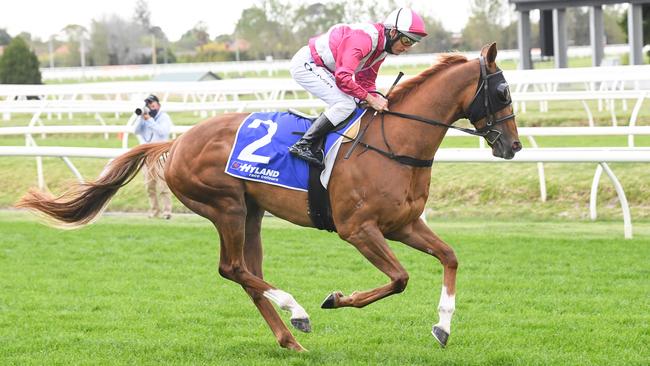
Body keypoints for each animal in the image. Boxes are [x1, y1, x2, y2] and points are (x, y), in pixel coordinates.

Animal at [17, 43, 520, 352]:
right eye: (501, 91)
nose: (513, 146)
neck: (394, 143)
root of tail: (175, 142)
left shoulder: (404, 224)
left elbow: (450, 257)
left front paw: (442, 325)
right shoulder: (358, 230)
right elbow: (398, 278)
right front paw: (335, 298)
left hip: (252, 212)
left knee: (247, 274)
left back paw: (290, 337)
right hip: (226, 206)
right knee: (233, 268)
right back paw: (298, 312)